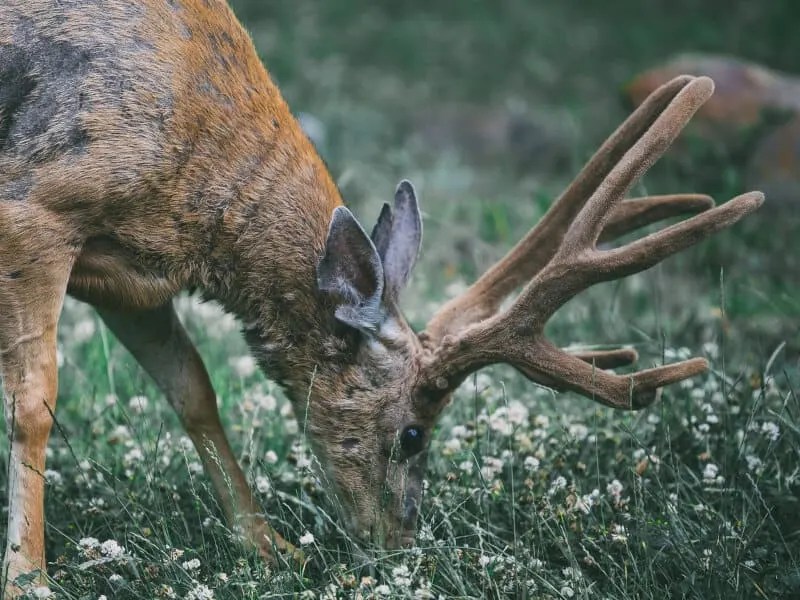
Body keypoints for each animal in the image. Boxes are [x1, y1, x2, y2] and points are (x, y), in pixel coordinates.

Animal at [0, 1, 763, 596]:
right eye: (413, 433)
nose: (399, 544)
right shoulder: (37, 208)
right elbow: (34, 404)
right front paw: (28, 575)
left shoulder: (133, 276)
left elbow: (194, 390)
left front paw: (268, 547)